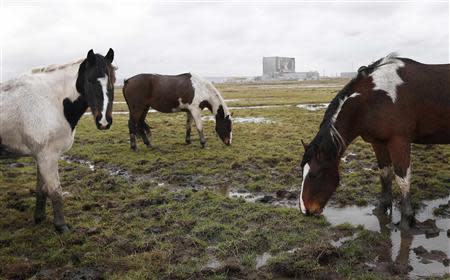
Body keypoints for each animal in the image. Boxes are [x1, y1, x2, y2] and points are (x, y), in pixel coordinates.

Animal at [0, 48, 116, 232]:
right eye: (90, 80)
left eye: (112, 80)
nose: (104, 121)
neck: (50, 101)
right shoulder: (48, 157)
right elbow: (56, 191)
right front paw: (61, 226)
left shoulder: (40, 156)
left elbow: (41, 189)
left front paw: (39, 218)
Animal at [298, 54, 450, 230]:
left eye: (314, 174)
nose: (305, 210)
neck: (374, 98)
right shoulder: (378, 142)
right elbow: (384, 174)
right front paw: (382, 208)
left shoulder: (399, 141)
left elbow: (402, 179)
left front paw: (407, 218)